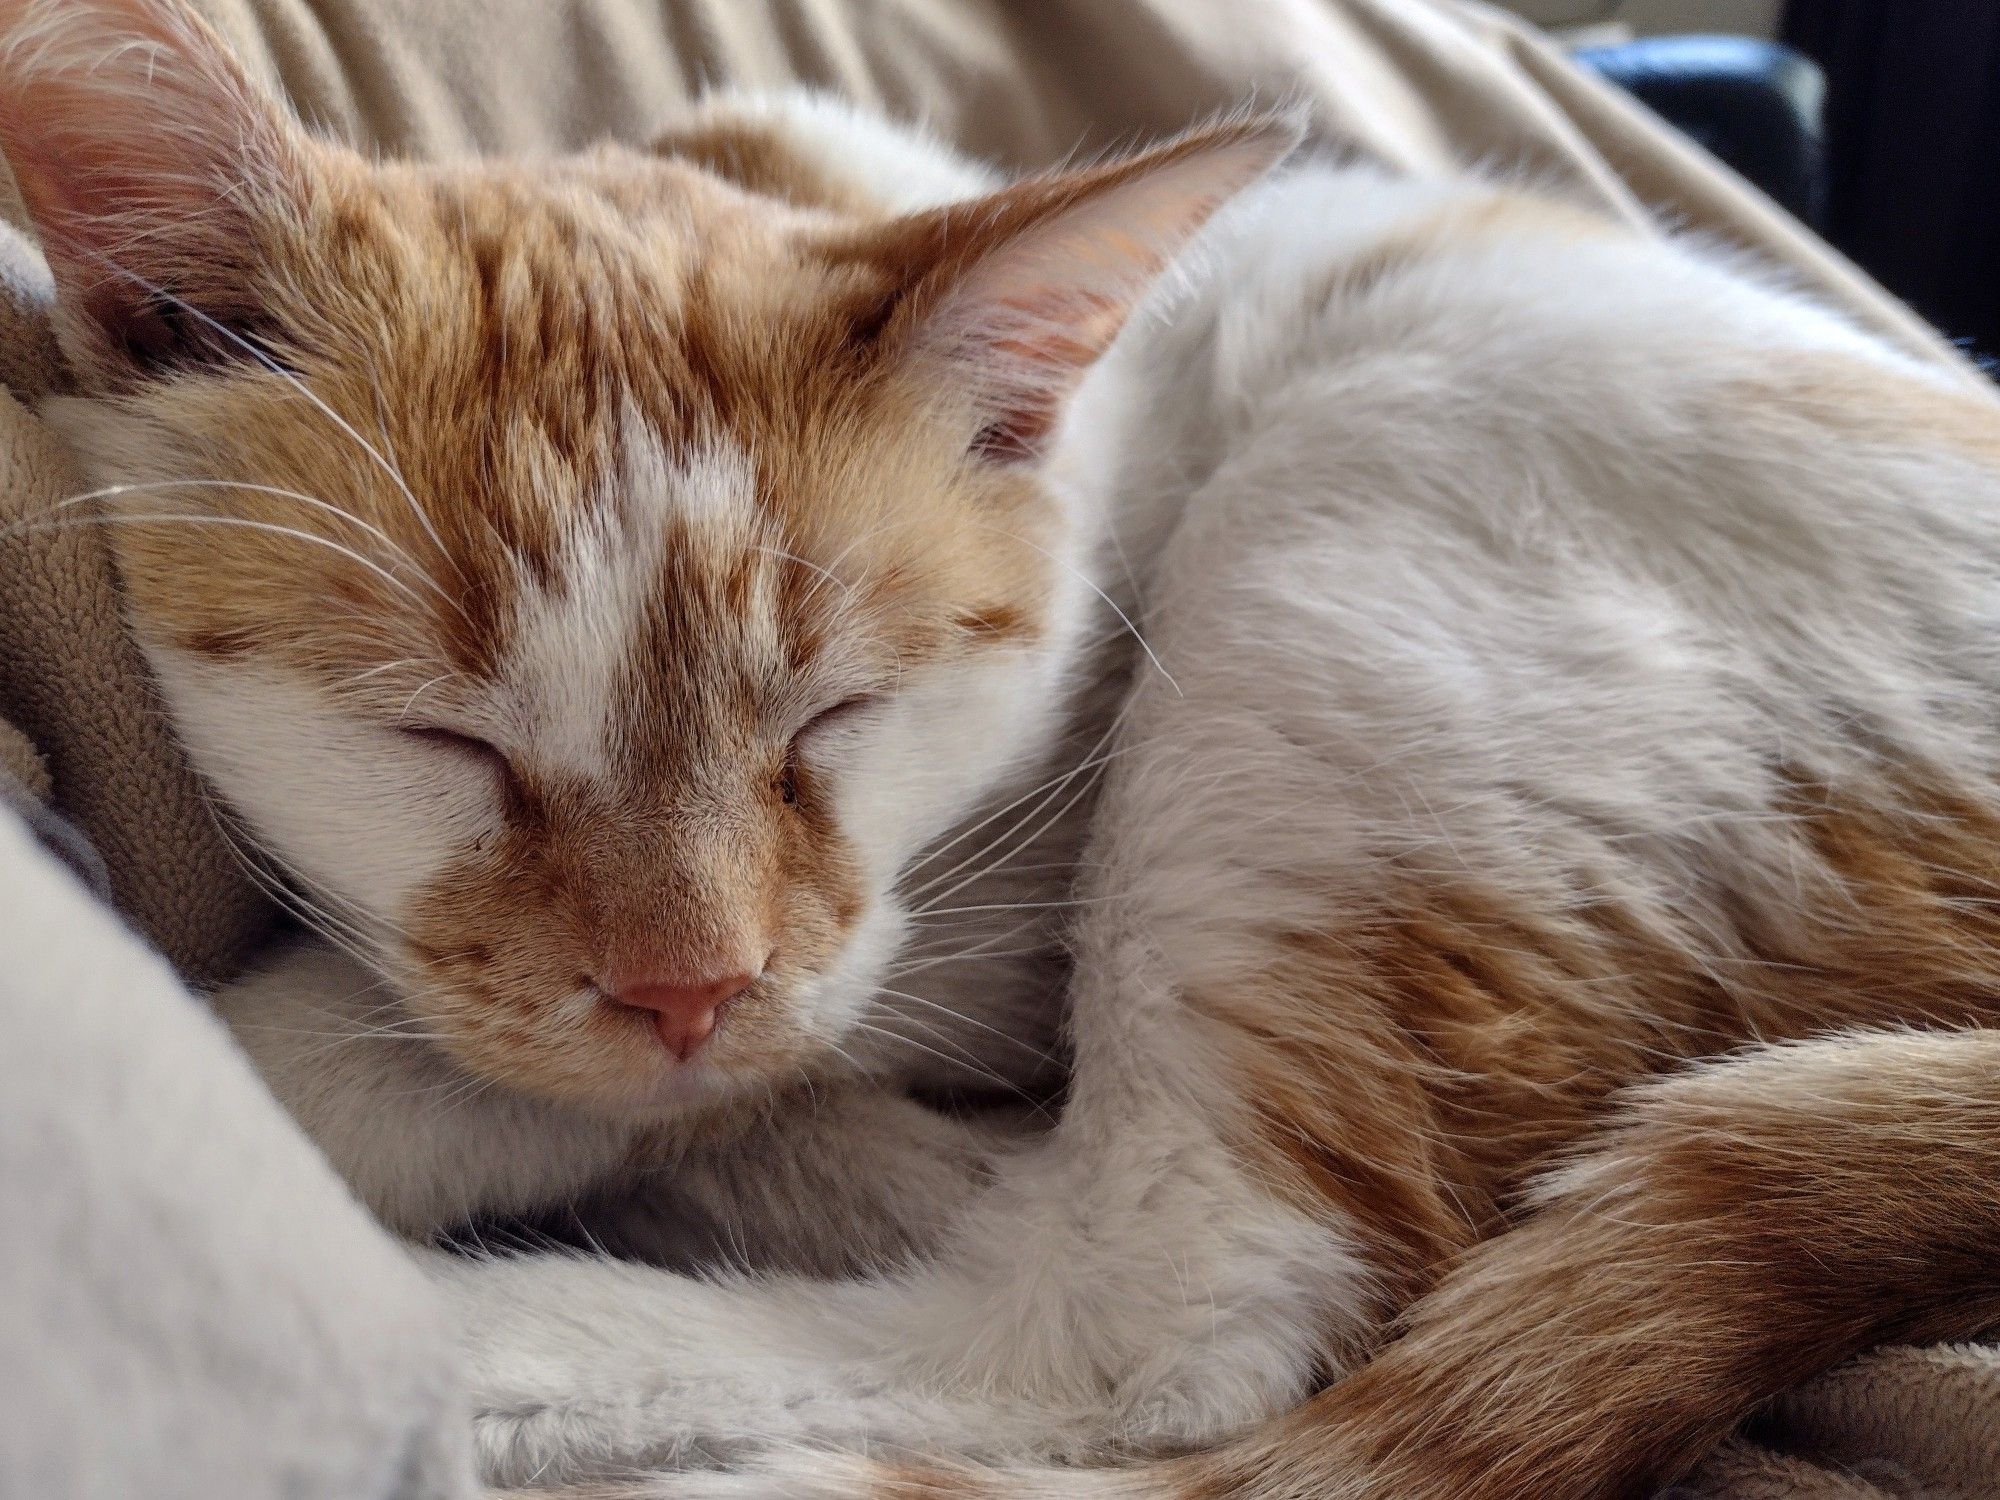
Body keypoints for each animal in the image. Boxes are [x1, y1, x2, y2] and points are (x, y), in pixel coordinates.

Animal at [3, 2, 2000, 1500]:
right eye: (442, 738)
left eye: (838, 717)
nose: (687, 990)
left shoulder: (965, 899)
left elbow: (524, 1066)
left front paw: (284, 1088)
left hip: (1375, 524)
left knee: (1149, 1325)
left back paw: (480, 1336)